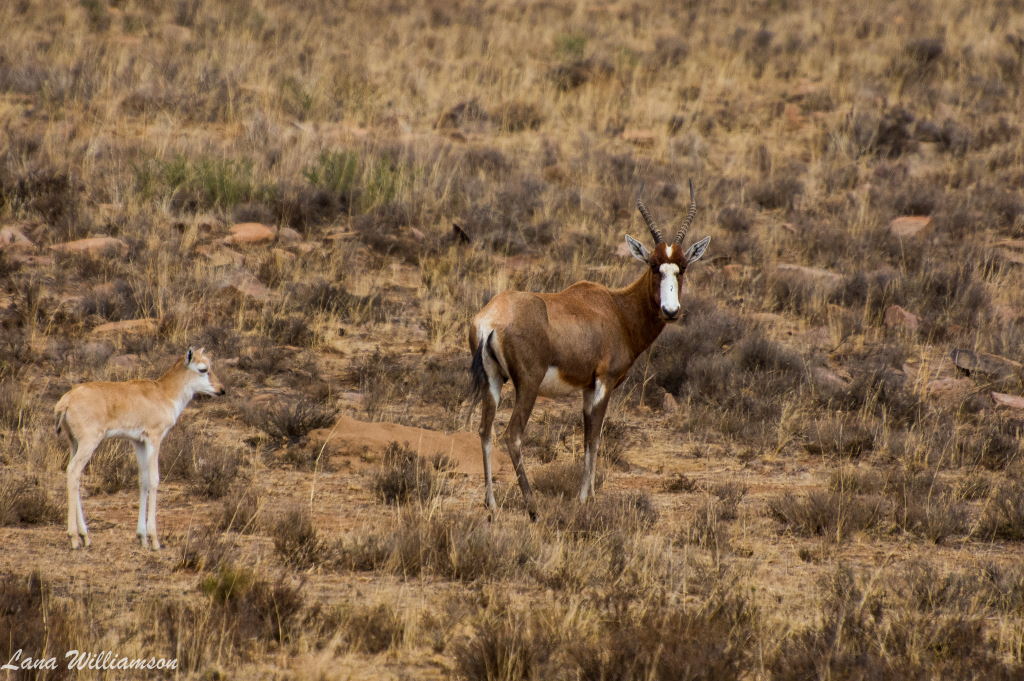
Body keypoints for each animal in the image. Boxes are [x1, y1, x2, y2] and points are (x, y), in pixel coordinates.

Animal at [54, 348, 226, 548]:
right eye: (203, 369)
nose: (221, 390)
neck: (163, 393)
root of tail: (67, 400)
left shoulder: (139, 443)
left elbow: (142, 480)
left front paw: (142, 537)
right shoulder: (154, 439)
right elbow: (154, 480)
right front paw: (154, 540)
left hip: (74, 443)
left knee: (75, 475)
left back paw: (85, 536)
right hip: (89, 443)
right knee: (73, 470)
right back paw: (74, 537)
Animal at [468, 183, 708, 518]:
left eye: (682, 268)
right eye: (653, 265)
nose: (671, 311)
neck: (615, 308)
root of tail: (492, 319)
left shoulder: (586, 388)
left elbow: (586, 437)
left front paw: (588, 493)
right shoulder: (604, 382)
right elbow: (595, 436)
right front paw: (586, 498)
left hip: (492, 383)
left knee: (485, 431)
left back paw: (490, 505)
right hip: (527, 385)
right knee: (512, 434)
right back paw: (533, 507)